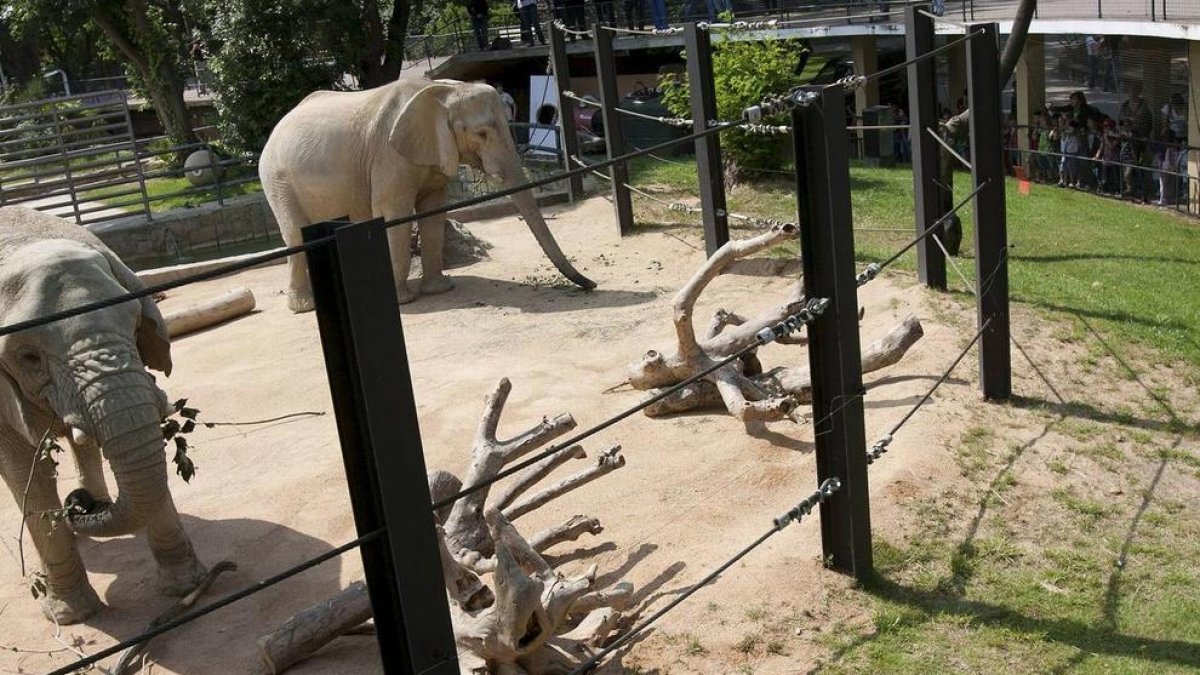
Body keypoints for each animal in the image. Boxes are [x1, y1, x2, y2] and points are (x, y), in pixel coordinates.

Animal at [0, 207, 206, 624]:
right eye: (29, 358)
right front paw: (70, 617)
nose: (76, 505)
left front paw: (186, 586)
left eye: (135, 323)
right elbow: (25, 466)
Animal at [260, 76, 592, 312]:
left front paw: (439, 290)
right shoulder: (389, 155)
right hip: (277, 179)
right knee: (295, 233)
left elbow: (434, 212)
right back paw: (304, 307)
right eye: (481, 134)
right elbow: (393, 214)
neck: (444, 91)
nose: (590, 284)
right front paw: (402, 301)